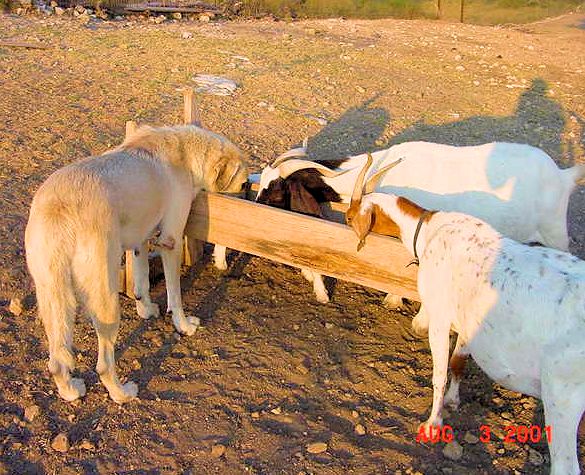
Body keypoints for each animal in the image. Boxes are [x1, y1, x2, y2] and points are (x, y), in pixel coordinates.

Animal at [25, 125, 246, 406]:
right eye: (243, 183)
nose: (246, 198)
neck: (185, 150)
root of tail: (59, 208)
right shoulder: (170, 240)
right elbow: (175, 295)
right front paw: (183, 325)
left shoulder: (141, 237)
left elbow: (141, 282)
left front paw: (146, 309)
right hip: (105, 298)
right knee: (103, 365)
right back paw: (122, 393)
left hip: (52, 297)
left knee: (56, 361)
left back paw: (70, 391)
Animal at [256, 140, 584, 304]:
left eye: (275, 189)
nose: (255, 204)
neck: (377, 169)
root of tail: (563, 176)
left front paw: (393, 299)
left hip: (555, 234)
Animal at [346, 161, 584, 475]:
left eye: (350, 216)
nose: (346, 221)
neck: (428, 230)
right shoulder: (469, 321)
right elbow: (458, 362)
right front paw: (453, 401)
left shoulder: (441, 316)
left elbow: (439, 373)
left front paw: (433, 424)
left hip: (563, 394)